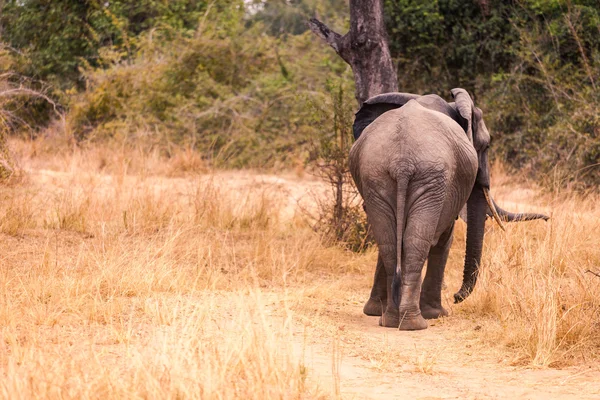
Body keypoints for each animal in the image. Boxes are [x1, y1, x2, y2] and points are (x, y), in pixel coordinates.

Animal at [346, 89, 548, 330]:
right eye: (486, 146)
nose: (456, 296)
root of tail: (402, 162)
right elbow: (445, 237)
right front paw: (438, 314)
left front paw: (375, 311)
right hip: (429, 180)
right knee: (419, 241)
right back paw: (414, 323)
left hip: (378, 176)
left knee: (390, 242)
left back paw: (391, 320)